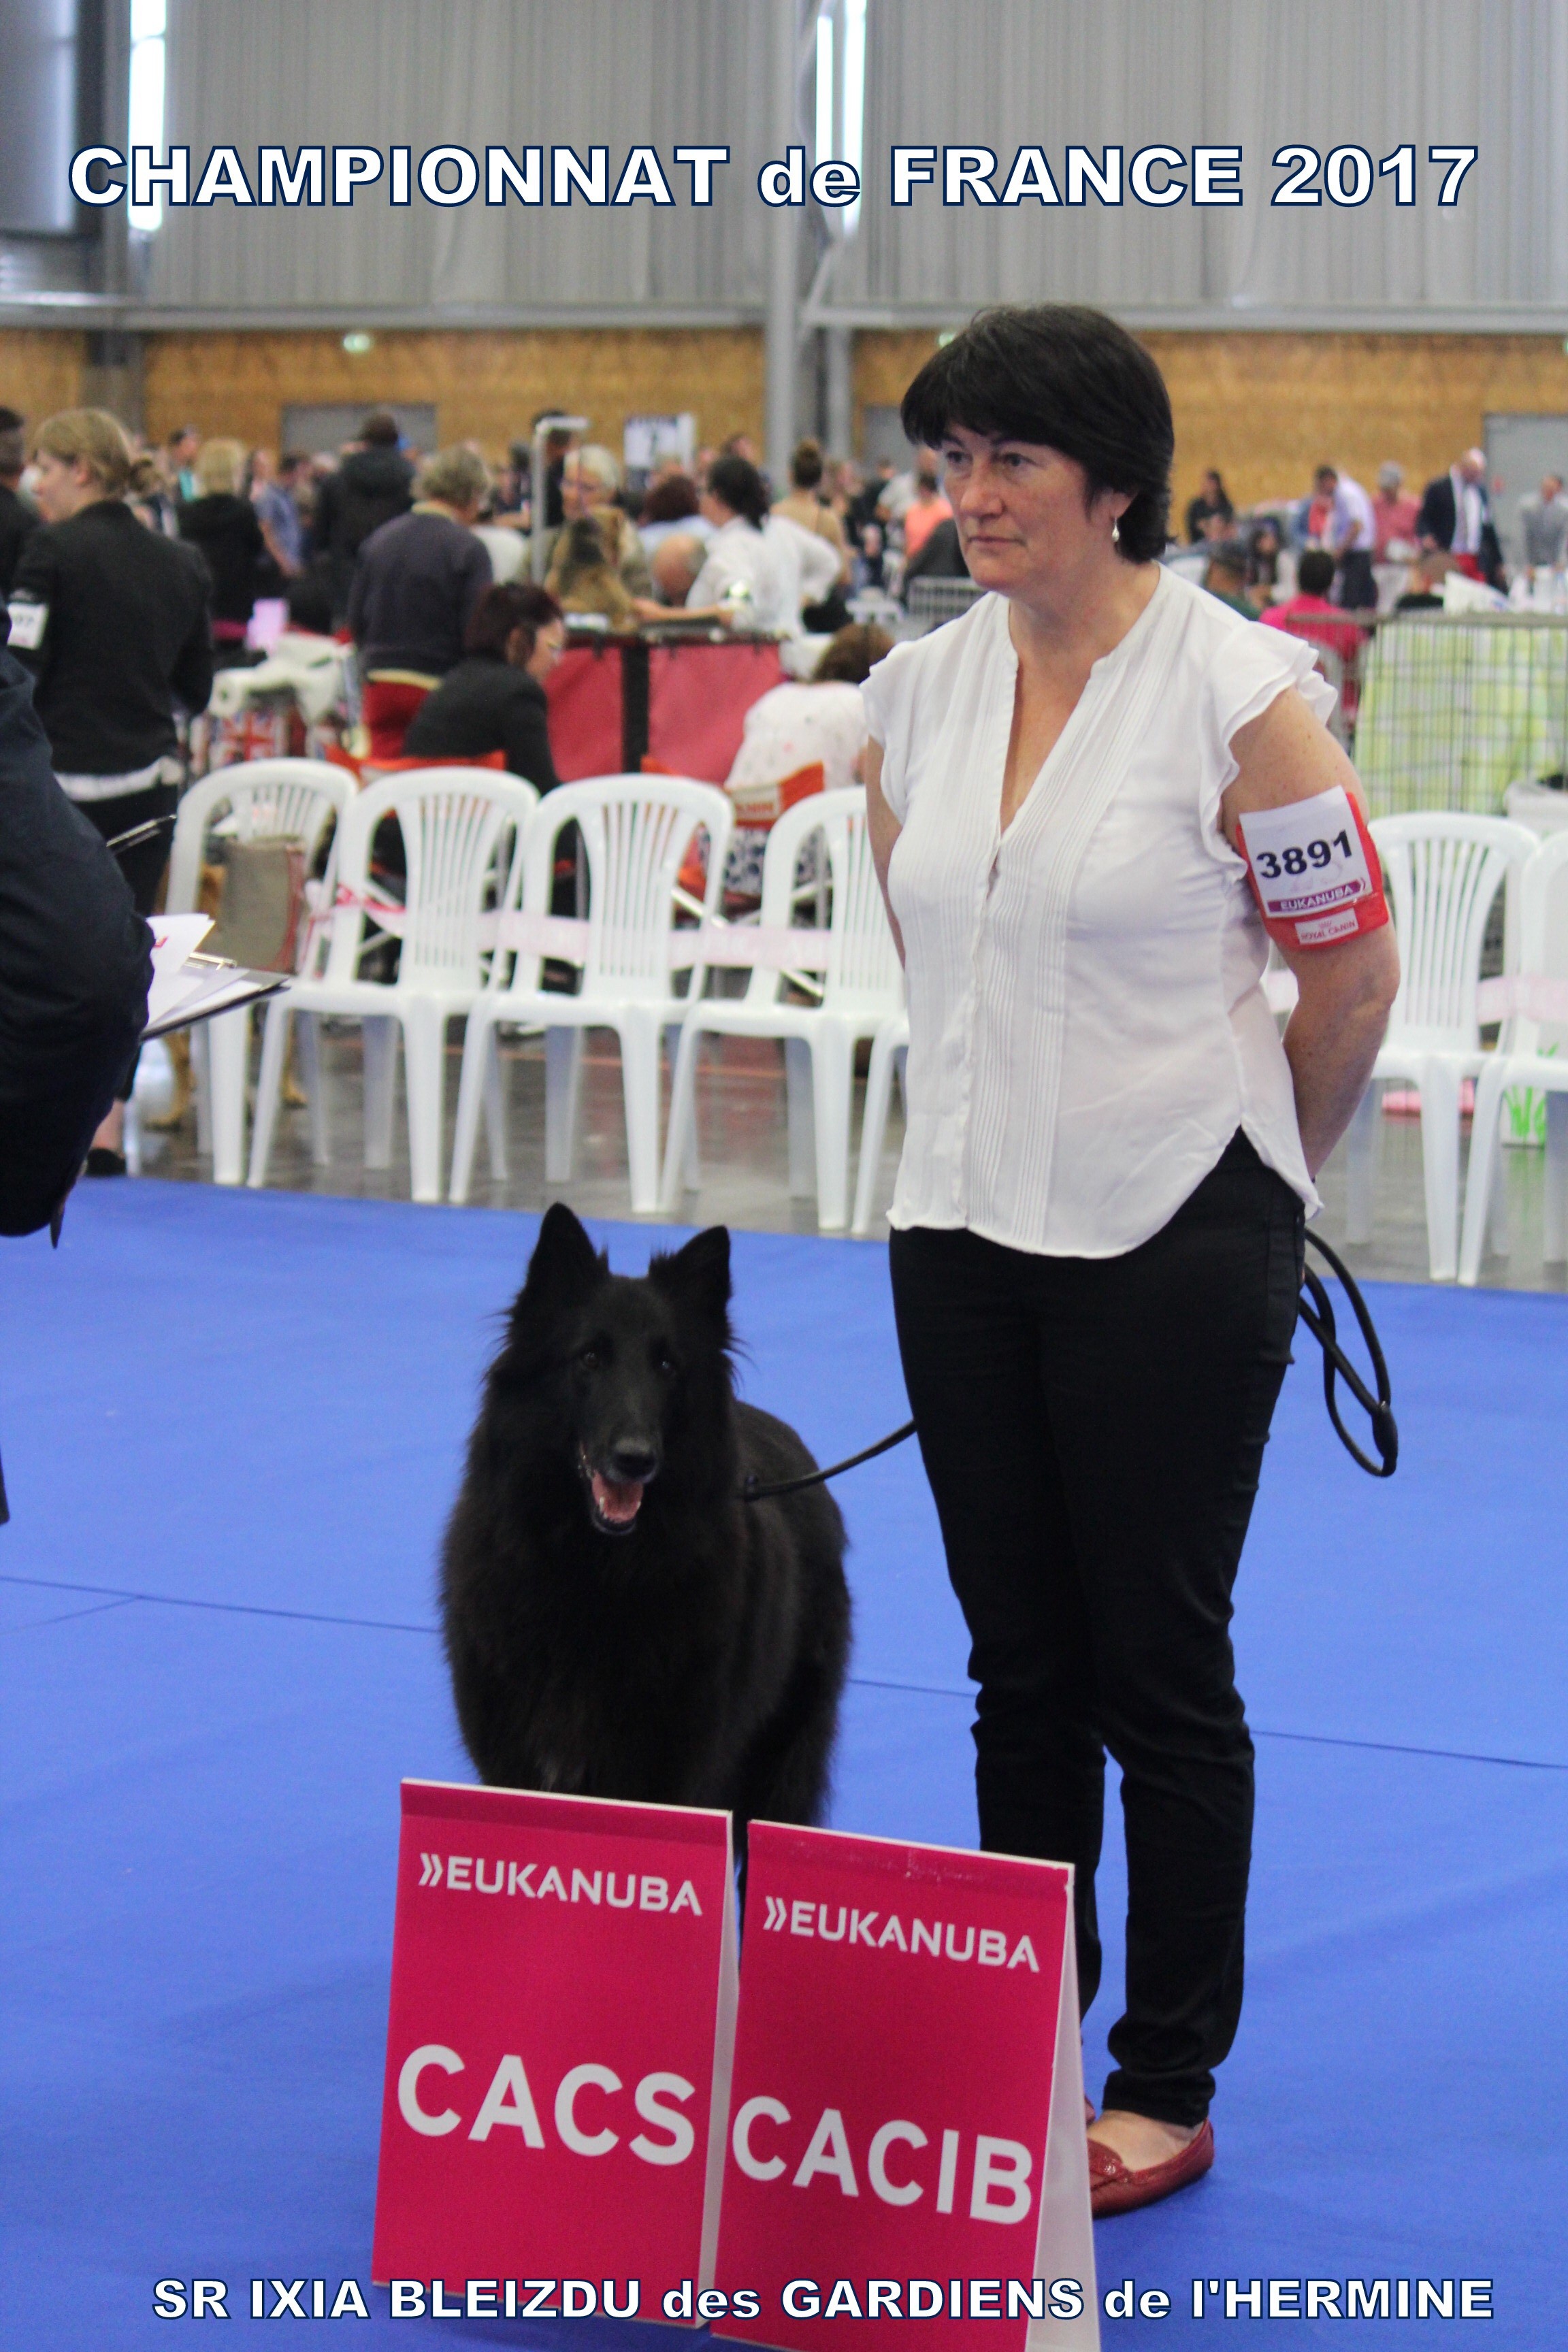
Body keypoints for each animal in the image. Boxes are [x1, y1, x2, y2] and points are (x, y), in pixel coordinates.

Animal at [446, 1213, 851, 1834]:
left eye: (666, 1366)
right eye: (590, 1359)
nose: (636, 1459)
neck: (593, 1572)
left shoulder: (666, 1778)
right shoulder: (513, 1766)